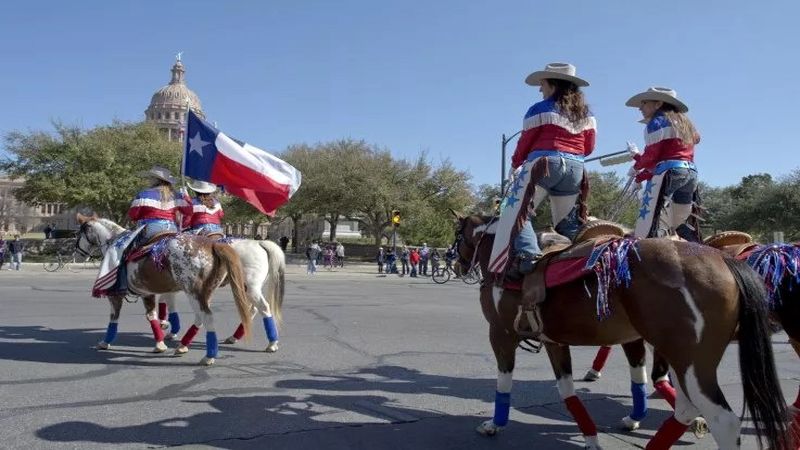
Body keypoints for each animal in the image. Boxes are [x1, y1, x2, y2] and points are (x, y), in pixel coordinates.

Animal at [72, 214, 284, 362]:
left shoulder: (116, 293)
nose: (77, 253)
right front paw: (165, 334)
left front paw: (105, 342)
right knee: (246, 311)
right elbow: (158, 311)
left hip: (236, 289)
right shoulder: (157, 290)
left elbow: (115, 317)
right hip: (235, 289)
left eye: (79, 233)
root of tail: (259, 242)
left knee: (259, 309)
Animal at [454, 214, 792, 450]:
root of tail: (725, 260)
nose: (454, 263)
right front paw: (591, 437)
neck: (505, 263)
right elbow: (568, 393)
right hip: (682, 359)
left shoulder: (500, 334)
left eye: (458, 235)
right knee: (685, 409)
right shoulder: (555, 342)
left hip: (693, 364)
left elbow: (504, 383)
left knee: (724, 421)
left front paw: (494, 425)